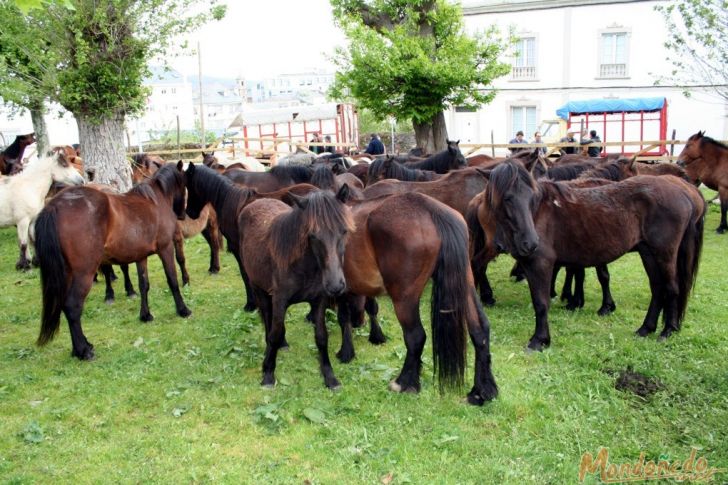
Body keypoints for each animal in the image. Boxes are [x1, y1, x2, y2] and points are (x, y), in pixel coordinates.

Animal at [36, 163, 191, 360]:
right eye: (184, 184)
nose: (182, 215)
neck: (156, 200)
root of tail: (55, 205)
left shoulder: (141, 256)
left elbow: (143, 285)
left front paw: (145, 315)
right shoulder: (166, 248)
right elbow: (172, 281)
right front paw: (183, 310)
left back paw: (82, 346)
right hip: (84, 273)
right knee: (72, 306)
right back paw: (83, 350)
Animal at [239, 187, 352, 388]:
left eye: (344, 231)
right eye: (313, 235)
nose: (336, 285)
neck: (304, 267)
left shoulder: (319, 301)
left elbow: (321, 336)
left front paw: (329, 376)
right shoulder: (279, 300)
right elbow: (274, 333)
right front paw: (268, 373)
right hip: (258, 287)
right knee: (267, 318)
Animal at [338, 191, 498, 402]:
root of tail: (432, 210)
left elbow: (343, 317)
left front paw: (345, 352)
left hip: (405, 298)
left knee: (416, 336)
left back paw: (405, 383)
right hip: (465, 282)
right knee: (480, 329)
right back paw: (482, 392)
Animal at [484, 161, 704, 350]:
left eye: (532, 197)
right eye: (507, 198)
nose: (530, 243)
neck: (539, 213)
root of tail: (684, 192)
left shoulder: (541, 264)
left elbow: (541, 302)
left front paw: (539, 340)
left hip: (664, 254)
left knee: (671, 288)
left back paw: (668, 330)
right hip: (648, 253)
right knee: (657, 288)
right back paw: (645, 329)